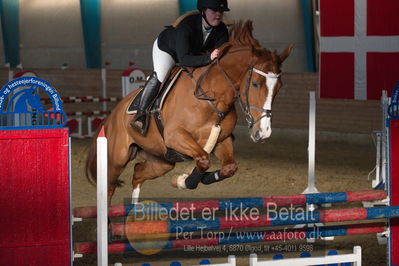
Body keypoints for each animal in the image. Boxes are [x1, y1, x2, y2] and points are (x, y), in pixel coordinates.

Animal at [86, 20, 294, 204]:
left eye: (279, 87)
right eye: (256, 84)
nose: (263, 132)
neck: (211, 99)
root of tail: (112, 114)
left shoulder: (222, 140)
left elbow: (229, 167)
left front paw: (186, 180)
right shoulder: (175, 136)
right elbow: (203, 159)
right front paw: (184, 181)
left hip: (162, 160)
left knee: (137, 173)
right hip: (116, 159)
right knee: (109, 187)